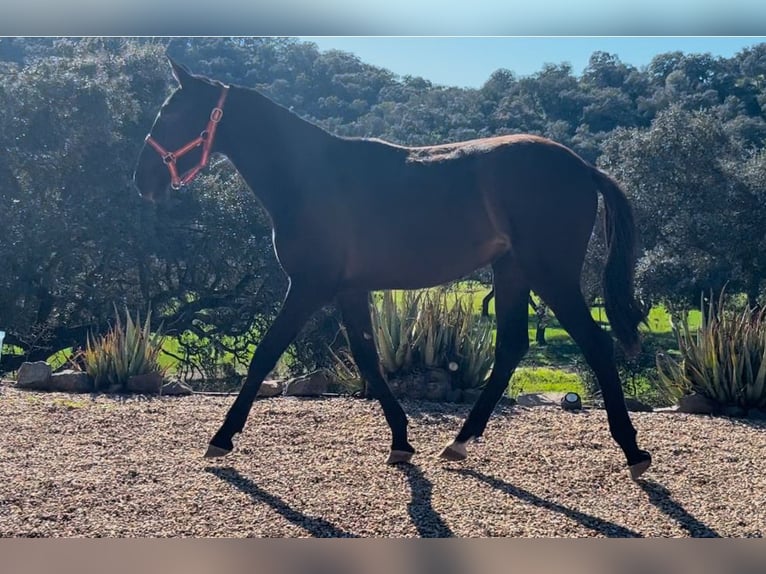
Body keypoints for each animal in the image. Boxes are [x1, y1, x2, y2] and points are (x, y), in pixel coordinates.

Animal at [134, 58, 656, 482]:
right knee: (511, 346)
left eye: (172, 113)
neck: (310, 176)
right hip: (511, 271)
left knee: (595, 343)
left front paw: (221, 438)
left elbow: (265, 354)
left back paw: (633, 451)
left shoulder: (308, 286)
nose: (142, 181)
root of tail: (583, 166)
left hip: (551, 274)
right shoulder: (349, 291)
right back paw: (459, 442)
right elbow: (368, 358)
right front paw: (402, 442)